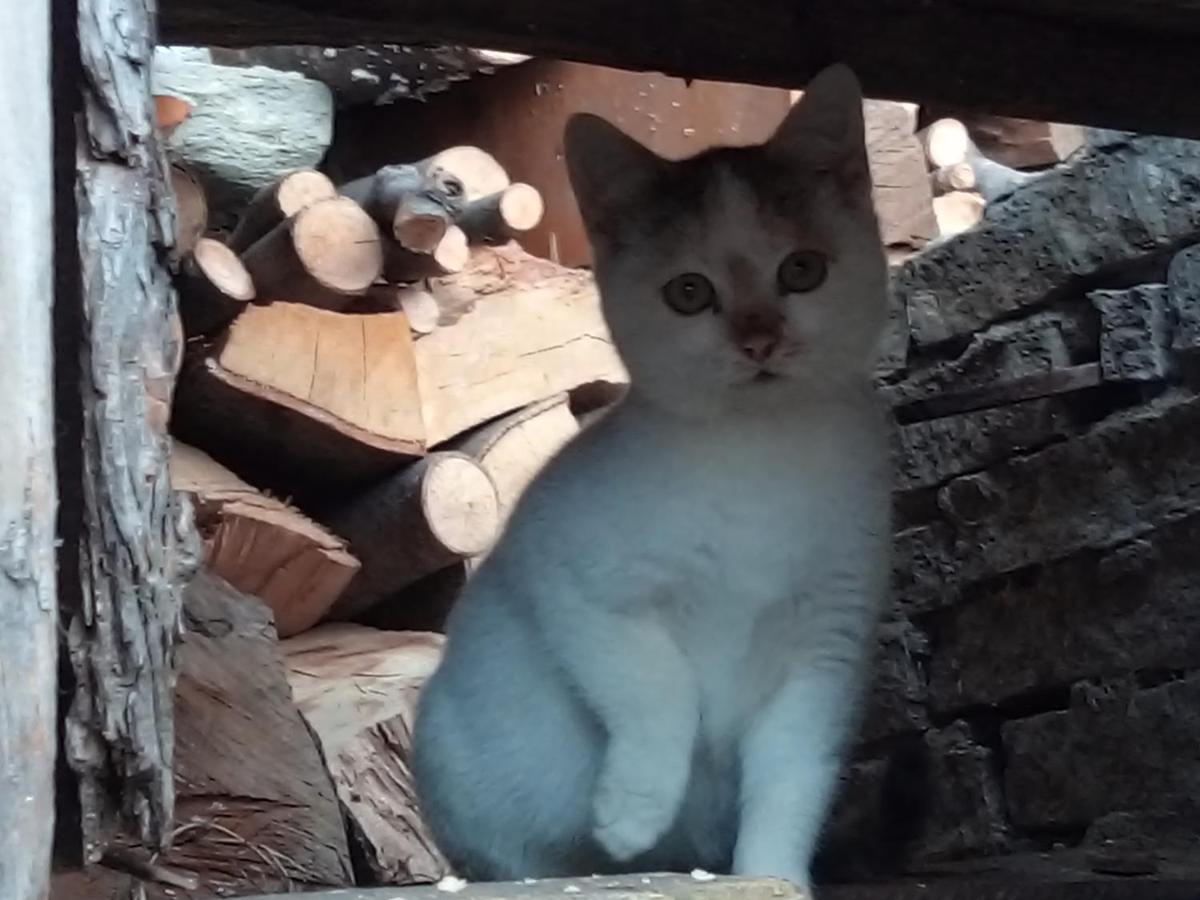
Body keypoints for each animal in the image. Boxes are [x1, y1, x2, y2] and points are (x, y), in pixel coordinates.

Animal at [412, 65, 892, 897]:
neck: (758, 458)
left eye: (802, 270)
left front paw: (773, 876)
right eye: (689, 292)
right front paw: (634, 809)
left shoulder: (827, 647)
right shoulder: (571, 579)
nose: (759, 338)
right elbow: (660, 687)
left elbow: (792, 778)